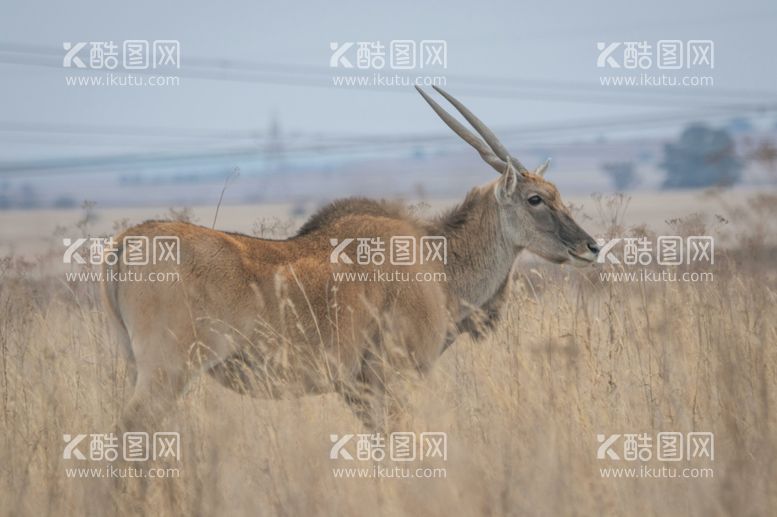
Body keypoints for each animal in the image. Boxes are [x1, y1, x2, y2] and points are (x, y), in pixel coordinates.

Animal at [101, 85, 600, 432]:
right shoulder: (392, 378)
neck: (436, 261)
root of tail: (125, 242)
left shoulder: (359, 390)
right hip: (167, 372)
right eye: (536, 199)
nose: (591, 247)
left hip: (139, 368)